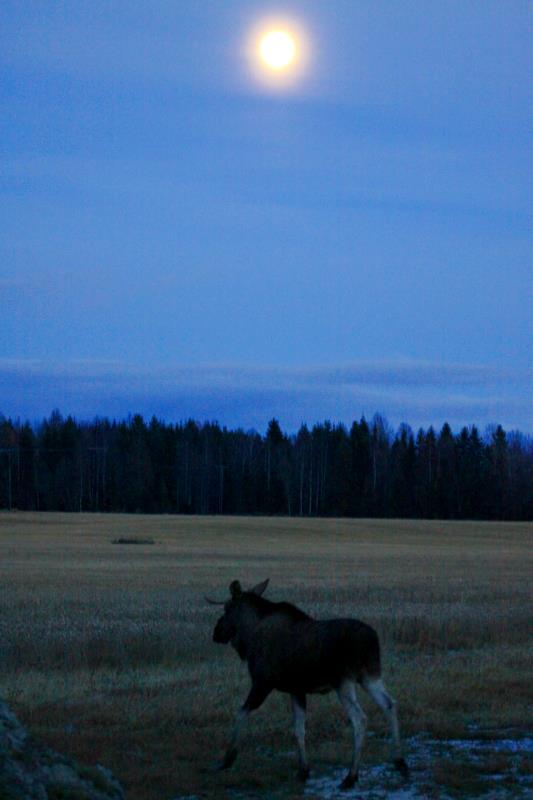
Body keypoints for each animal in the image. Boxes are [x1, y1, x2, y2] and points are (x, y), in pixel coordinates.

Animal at [207, 580, 408, 792]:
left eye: (226, 608)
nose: (216, 632)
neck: (249, 636)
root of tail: (372, 640)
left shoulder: (262, 682)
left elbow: (240, 713)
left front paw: (227, 759)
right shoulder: (296, 690)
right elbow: (299, 729)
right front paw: (303, 770)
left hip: (344, 681)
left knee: (360, 719)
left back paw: (351, 776)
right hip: (369, 676)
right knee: (390, 704)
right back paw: (399, 761)